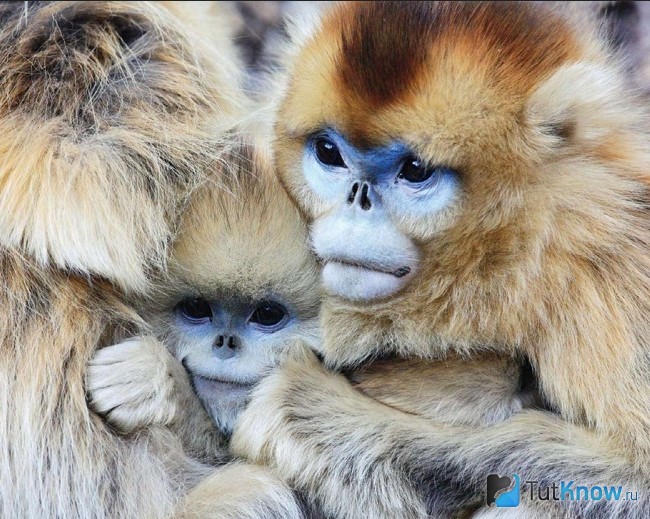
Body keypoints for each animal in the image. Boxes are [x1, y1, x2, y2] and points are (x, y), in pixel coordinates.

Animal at [223, 2, 650, 518]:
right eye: (329, 152)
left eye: (415, 170)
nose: (356, 203)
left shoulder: (606, 267)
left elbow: (633, 480)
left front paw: (301, 408)